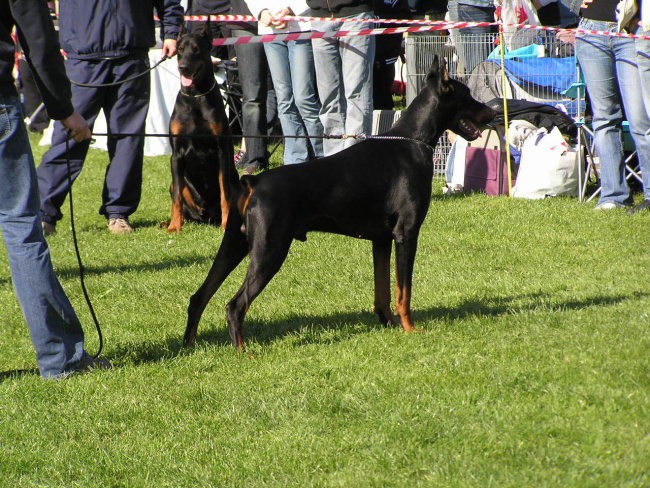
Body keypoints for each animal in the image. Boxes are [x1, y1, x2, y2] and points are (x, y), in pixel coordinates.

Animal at [167, 23, 233, 234]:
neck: (195, 96)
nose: (183, 68)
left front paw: (226, 224)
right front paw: (174, 226)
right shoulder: (176, 154)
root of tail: (207, 217)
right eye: (180, 49)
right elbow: (177, 197)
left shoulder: (222, 152)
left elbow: (225, 192)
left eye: (196, 49)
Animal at [180, 57, 494, 348]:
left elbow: (383, 292)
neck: (413, 139)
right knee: (235, 305)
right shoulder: (406, 233)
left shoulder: (381, 240)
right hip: (269, 250)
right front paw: (409, 329)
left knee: (199, 296)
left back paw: (190, 345)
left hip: (234, 244)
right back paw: (243, 351)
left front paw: (388, 324)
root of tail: (252, 182)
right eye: (467, 95)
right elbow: (404, 291)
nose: (493, 111)